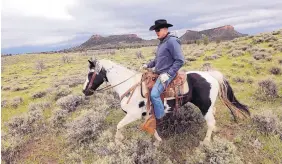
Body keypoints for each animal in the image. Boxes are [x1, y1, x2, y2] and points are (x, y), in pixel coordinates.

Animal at [82, 58, 250, 144]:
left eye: (90, 74)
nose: (84, 91)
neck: (130, 86)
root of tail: (211, 75)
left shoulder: (133, 115)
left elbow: (118, 126)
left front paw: (118, 141)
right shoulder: (147, 115)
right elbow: (152, 128)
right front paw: (158, 140)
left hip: (205, 107)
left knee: (210, 123)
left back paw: (206, 142)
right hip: (209, 106)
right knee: (213, 118)